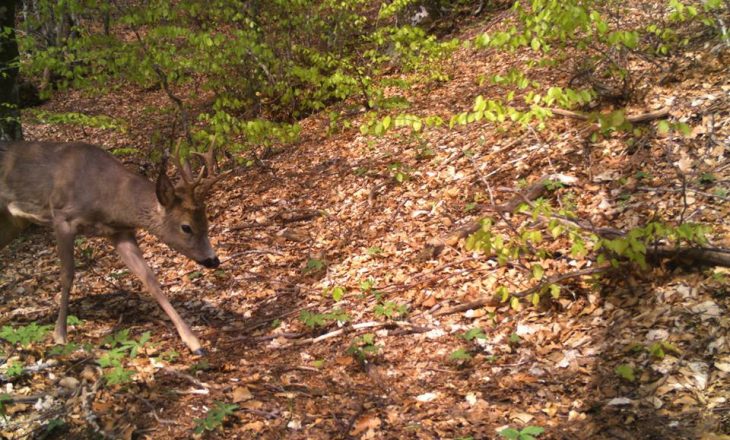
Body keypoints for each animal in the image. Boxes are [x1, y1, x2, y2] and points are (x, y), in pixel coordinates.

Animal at [0, 139, 223, 356]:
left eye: (206, 221)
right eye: (186, 227)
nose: (213, 260)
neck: (109, 200)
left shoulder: (120, 233)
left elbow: (149, 278)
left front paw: (193, 341)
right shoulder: (62, 218)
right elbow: (67, 275)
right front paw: (60, 335)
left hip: (12, 223)